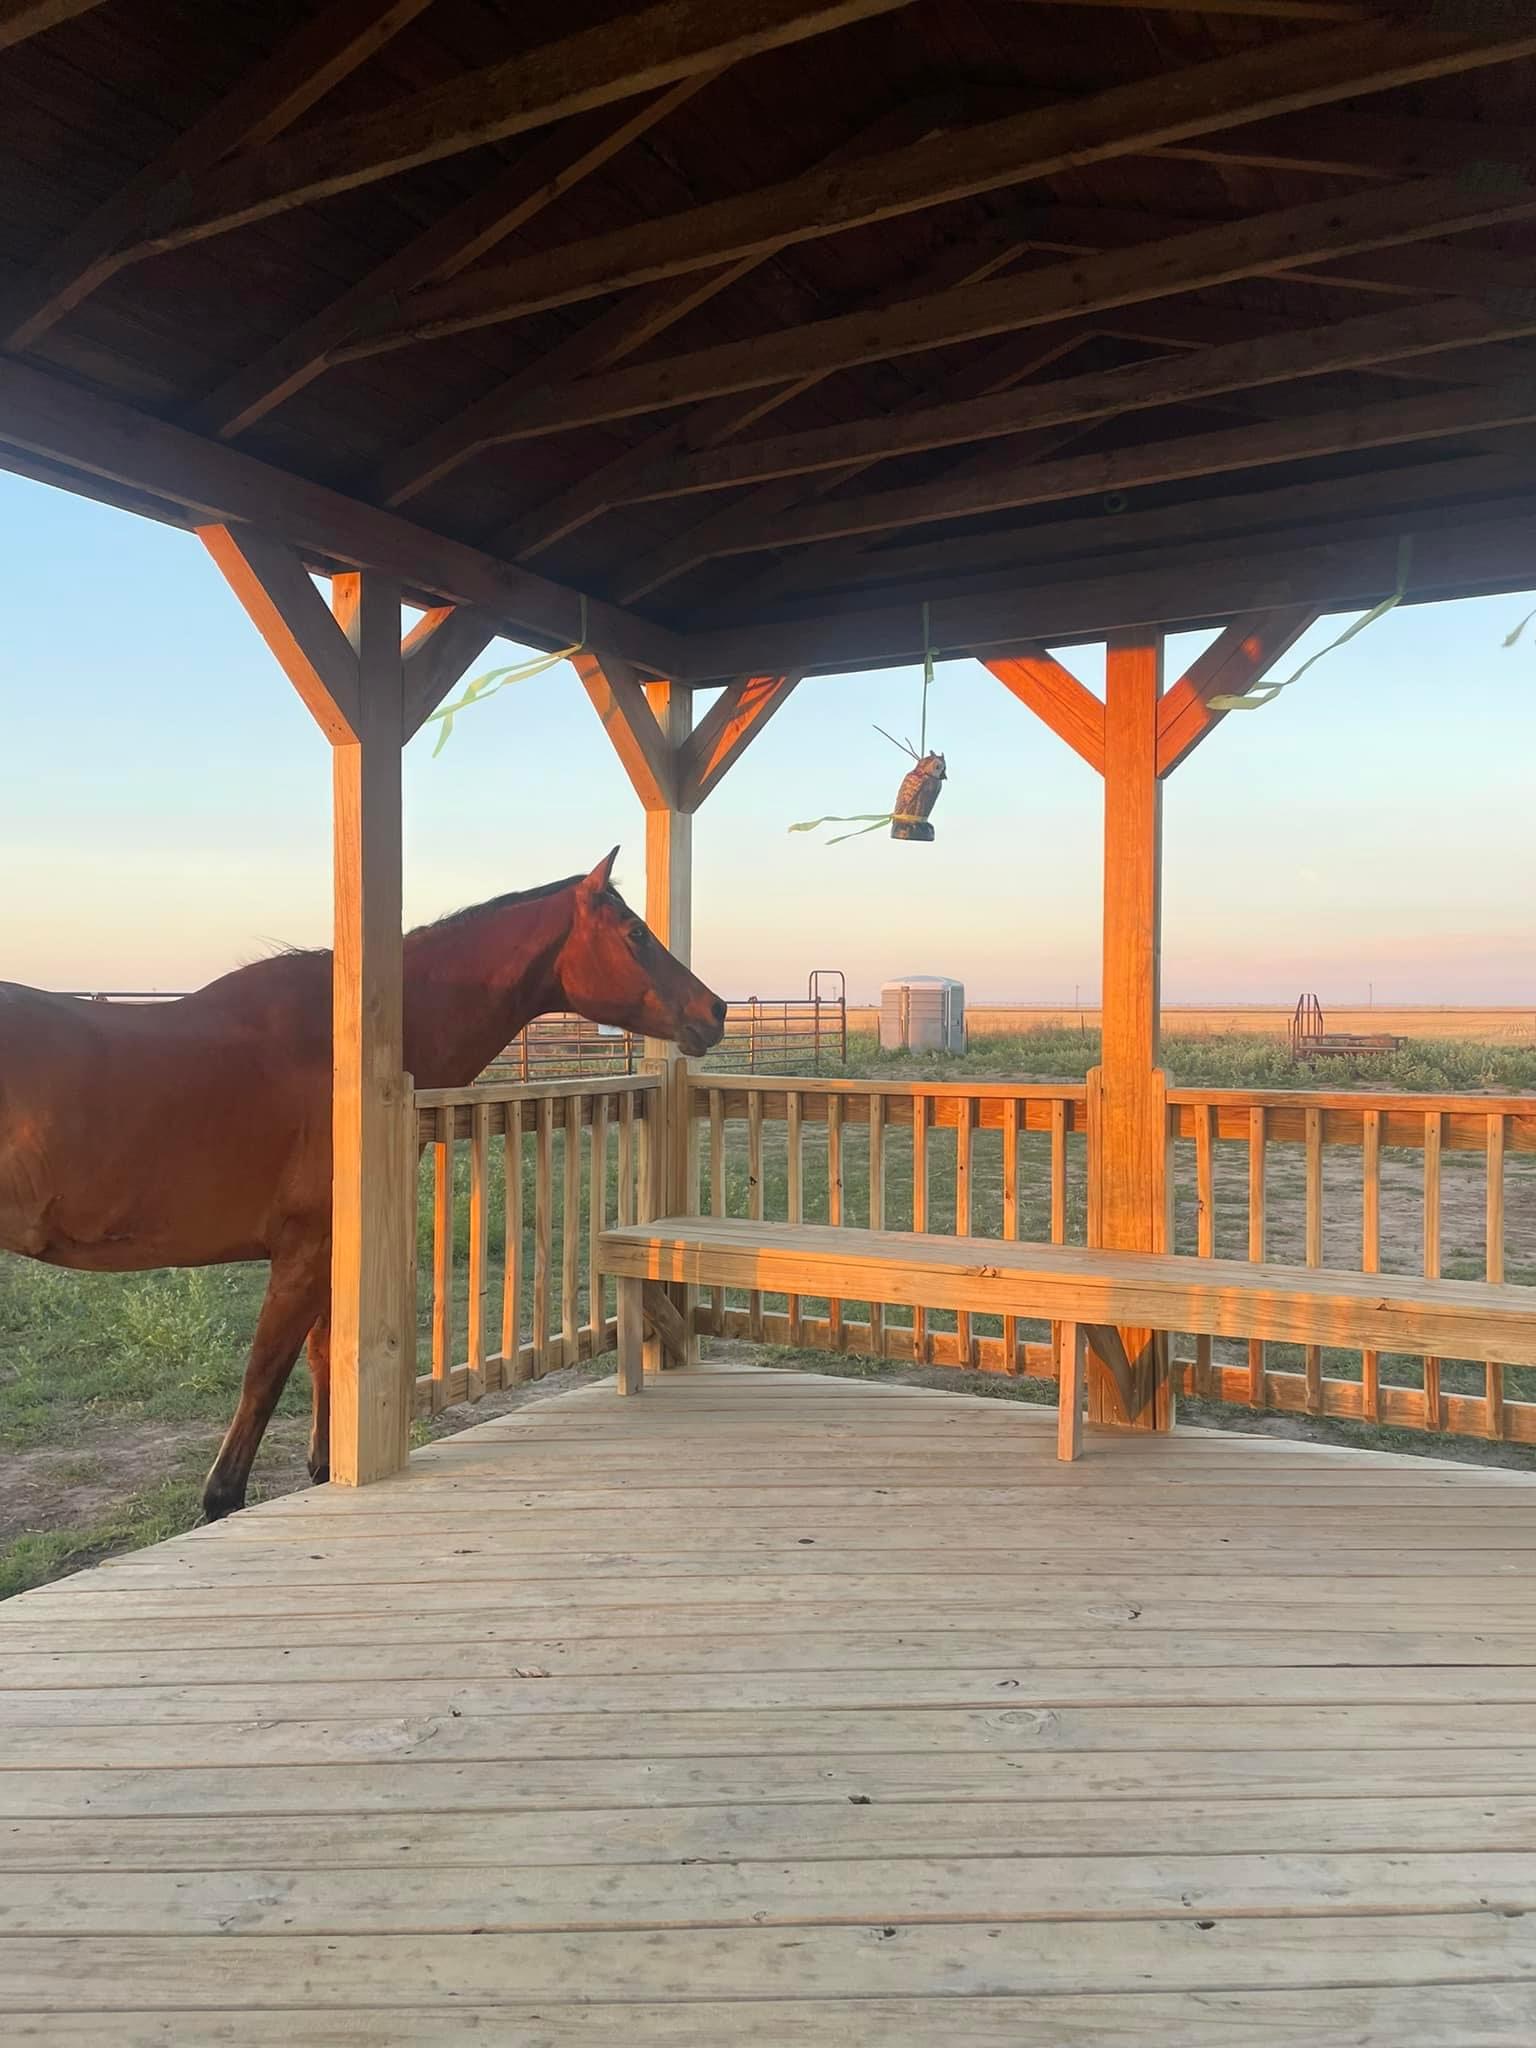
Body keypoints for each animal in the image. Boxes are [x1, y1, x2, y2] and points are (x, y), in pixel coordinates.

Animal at [0, 839, 729, 1515]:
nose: (716, 1010)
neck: (342, 1051)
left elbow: (327, 1359)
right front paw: (222, 1499)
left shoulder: (327, 1258)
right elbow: (265, 1378)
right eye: (634, 933)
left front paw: (325, 1469)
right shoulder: (305, 1251)